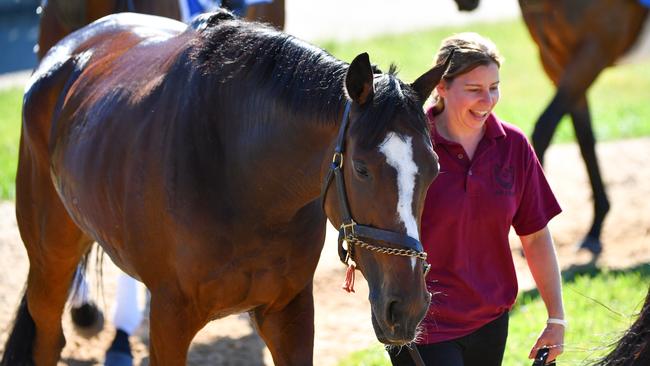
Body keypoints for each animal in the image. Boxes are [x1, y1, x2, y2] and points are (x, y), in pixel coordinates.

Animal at [1, 8, 450, 366]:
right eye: (360, 169)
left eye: (434, 169)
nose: (407, 307)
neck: (245, 181)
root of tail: (66, 50)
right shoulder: (170, 317)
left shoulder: (290, 312)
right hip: (50, 259)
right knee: (47, 338)